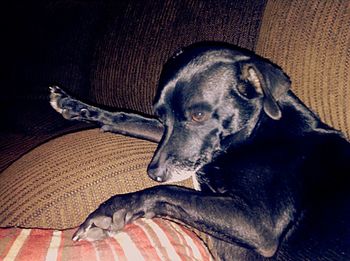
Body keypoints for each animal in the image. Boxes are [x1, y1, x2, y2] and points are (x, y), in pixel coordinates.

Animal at [50, 42, 350, 258]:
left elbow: (169, 192)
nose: (153, 172)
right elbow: (130, 118)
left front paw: (113, 210)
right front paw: (74, 105)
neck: (259, 134)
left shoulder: (259, 225)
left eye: (198, 116)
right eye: (161, 115)